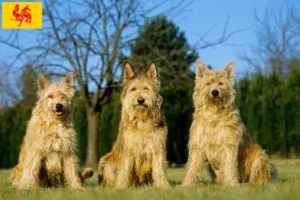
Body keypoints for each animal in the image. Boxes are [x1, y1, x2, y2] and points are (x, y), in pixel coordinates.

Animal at [182, 59, 278, 188]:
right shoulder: (198, 144)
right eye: (208, 83)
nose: (215, 92)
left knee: (258, 178)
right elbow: (192, 166)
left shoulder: (228, 144)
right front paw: (187, 184)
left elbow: (229, 165)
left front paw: (231, 184)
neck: (214, 112)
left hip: (259, 155)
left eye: (221, 83)